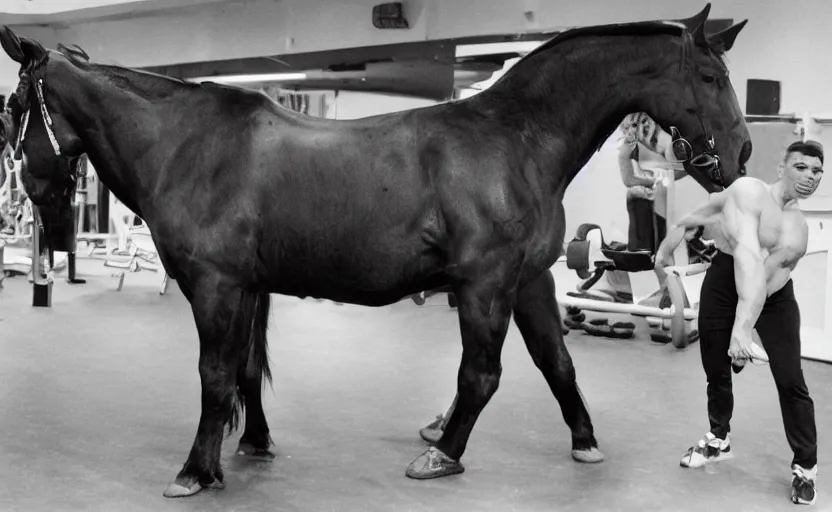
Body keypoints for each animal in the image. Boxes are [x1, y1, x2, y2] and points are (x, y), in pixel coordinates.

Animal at [1, 3, 752, 500]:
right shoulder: (242, 285)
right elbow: (240, 371)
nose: (742, 153)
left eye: (8, 105)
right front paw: (242, 448)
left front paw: (196, 469)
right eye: (710, 78)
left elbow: (498, 372)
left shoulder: (502, 282)